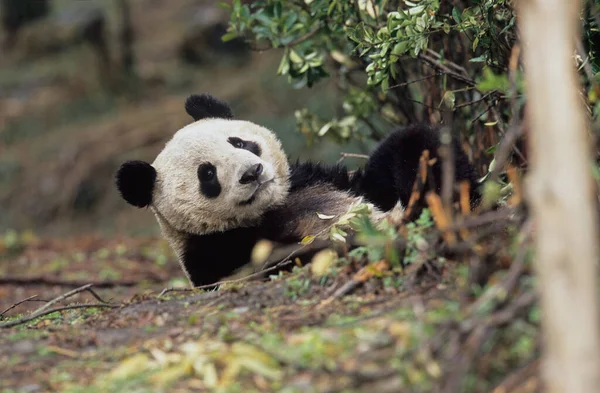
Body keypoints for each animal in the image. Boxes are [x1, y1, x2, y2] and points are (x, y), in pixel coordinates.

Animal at [116, 94, 478, 286]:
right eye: (207, 174)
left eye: (239, 142)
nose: (252, 173)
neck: (271, 209)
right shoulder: (216, 255)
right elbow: (291, 260)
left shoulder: (314, 180)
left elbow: (378, 178)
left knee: (416, 141)